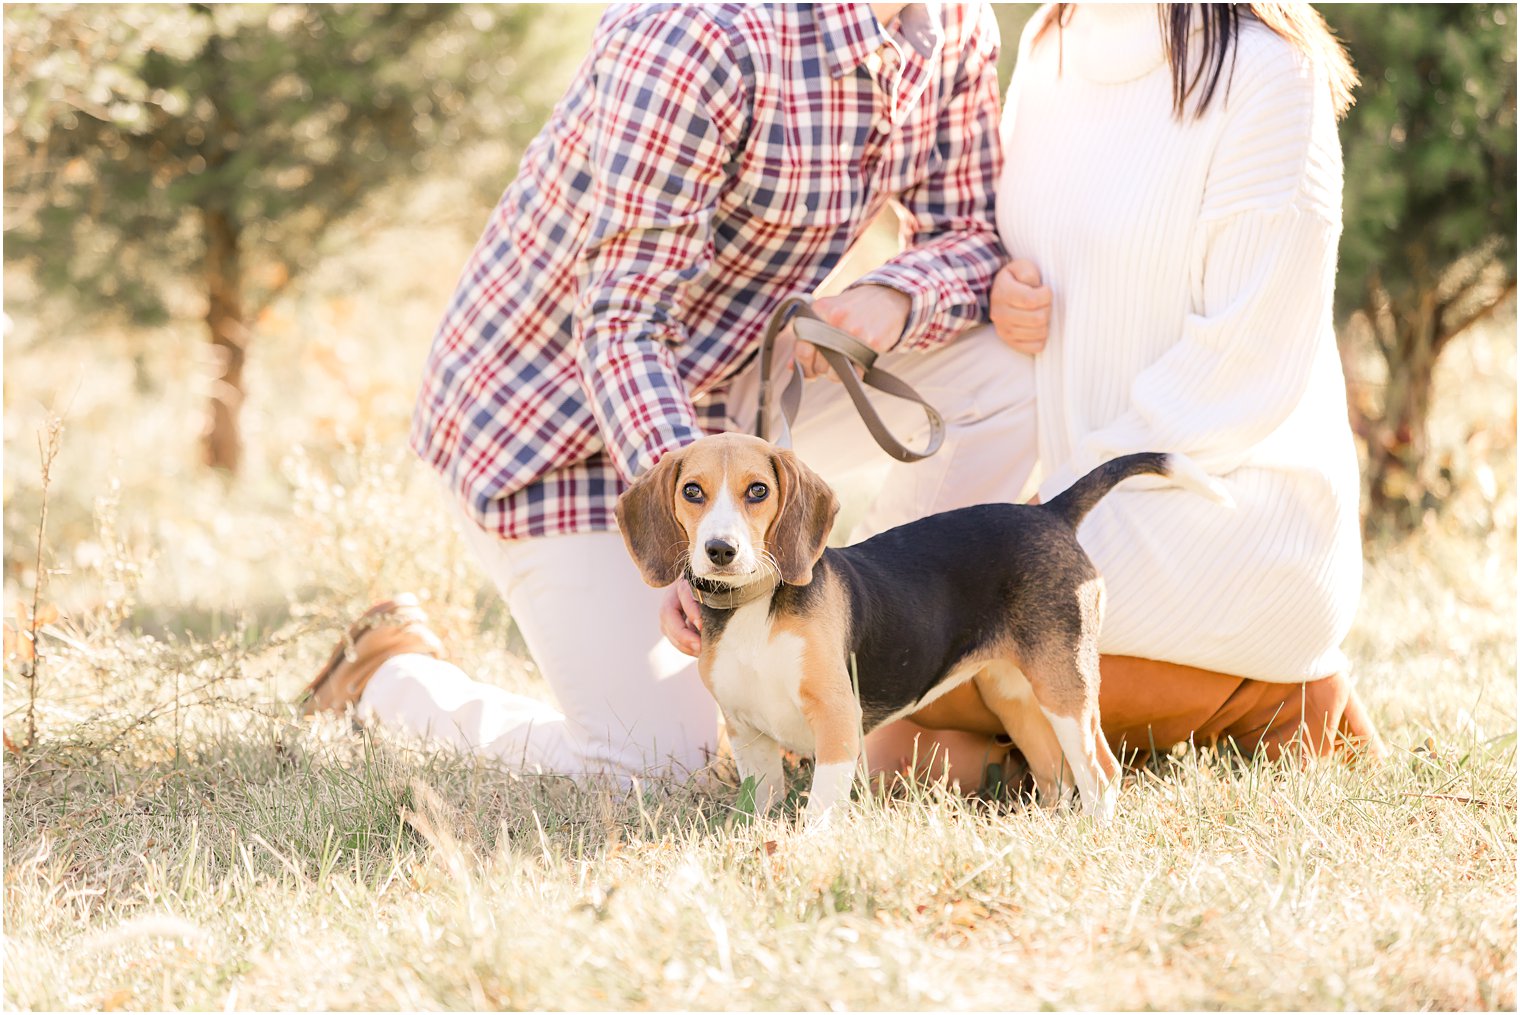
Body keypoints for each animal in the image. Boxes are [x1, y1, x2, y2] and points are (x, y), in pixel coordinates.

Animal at [611, 434, 1228, 826]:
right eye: (692, 491)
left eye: (758, 490)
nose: (721, 550)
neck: (756, 607)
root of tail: (1049, 511)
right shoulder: (749, 737)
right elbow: (762, 809)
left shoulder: (837, 721)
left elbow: (819, 811)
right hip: (1013, 696)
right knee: (1056, 774)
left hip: (1064, 685)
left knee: (1101, 771)